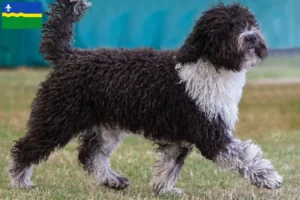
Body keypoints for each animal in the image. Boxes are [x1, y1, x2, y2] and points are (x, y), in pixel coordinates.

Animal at [8, 0, 282, 195]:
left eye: (250, 23)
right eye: (227, 27)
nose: (251, 37)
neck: (210, 65)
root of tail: (69, 56)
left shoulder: (179, 137)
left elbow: (169, 166)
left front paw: (164, 190)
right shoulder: (209, 132)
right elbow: (244, 156)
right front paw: (269, 178)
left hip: (106, 125)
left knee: (91, 155)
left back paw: (113, 180)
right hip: (57, 117)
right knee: (25, 147)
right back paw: (20, 181)